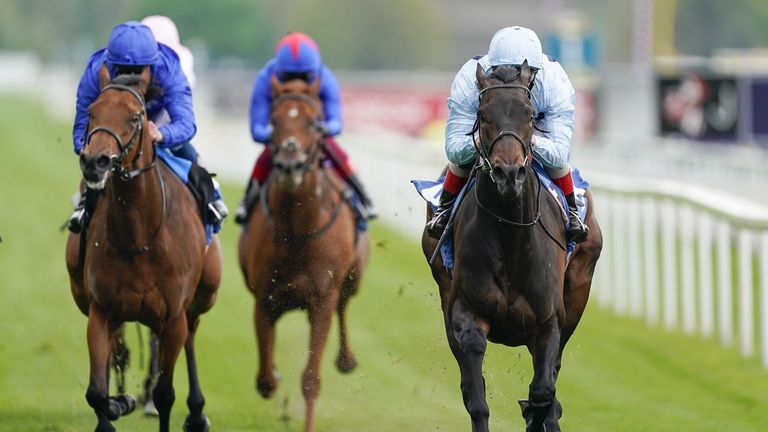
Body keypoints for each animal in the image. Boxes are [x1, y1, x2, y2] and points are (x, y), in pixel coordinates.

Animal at [424, 61, 604, 432]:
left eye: (530, 113)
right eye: (482, 113)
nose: (509, 173)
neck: (511, 239)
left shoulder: (549, 322)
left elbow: (543, 391)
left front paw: (538, 411)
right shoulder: (465, 307)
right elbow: (477, 393)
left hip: (578, 291)